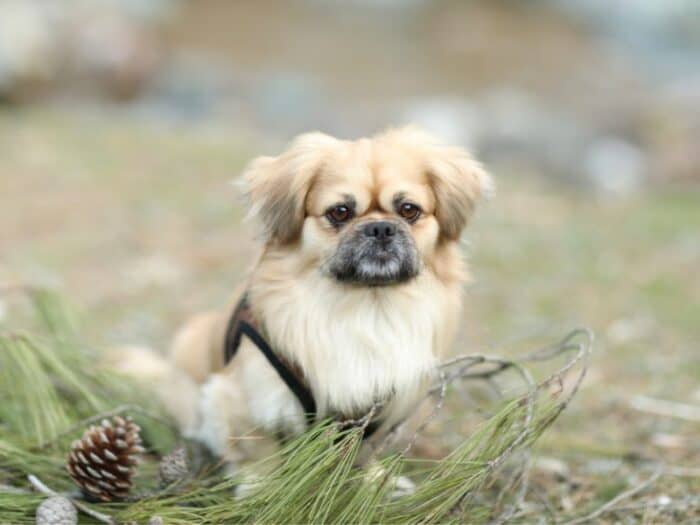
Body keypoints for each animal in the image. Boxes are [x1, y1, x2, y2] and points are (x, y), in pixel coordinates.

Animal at [116, 126, 492, 474]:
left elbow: (365, 454)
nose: (381, 228)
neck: (366, 305)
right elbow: (259, 455)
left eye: (409, 210)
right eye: (340, 212)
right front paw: (259, 488)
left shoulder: (385, 409)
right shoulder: (243, 400)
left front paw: (374, 481)